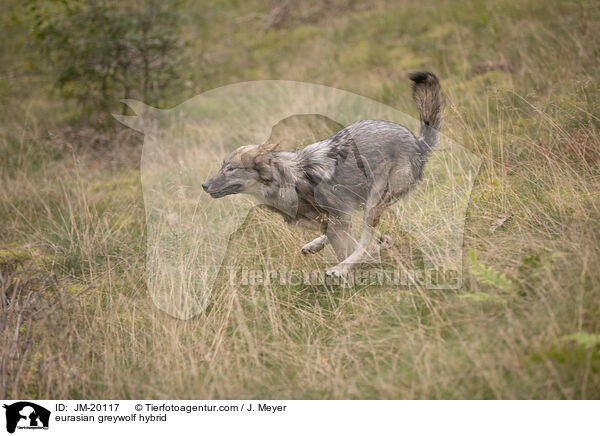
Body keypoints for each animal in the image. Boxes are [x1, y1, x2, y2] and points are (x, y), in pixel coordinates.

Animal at [204, 71, 442, 276]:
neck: (288, 180)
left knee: (367, 240)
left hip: (373, 203)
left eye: (230, 168)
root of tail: (417, 143)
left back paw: (341, 268)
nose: (204, 186)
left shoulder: (337, 219)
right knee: (369, 238)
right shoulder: (337, 219)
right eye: (221, 166)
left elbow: (354, 248)